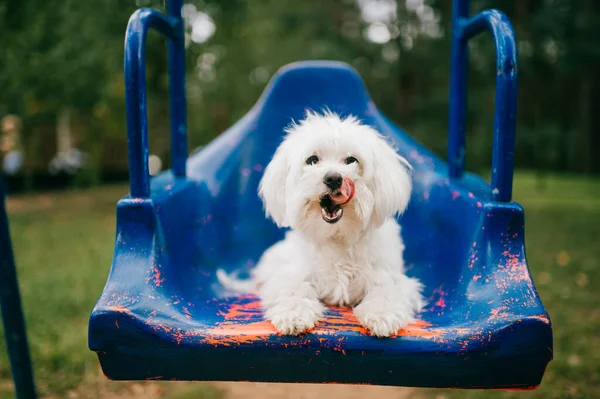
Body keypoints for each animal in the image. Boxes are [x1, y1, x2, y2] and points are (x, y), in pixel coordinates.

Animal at [218, 110, 424, 338]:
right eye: (312, 160)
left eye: (351, 160)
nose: (333, 178)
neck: (337, 235)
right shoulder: (290, 275)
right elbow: (293, 289)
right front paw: (294, 314)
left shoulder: (391, 277)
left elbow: (387, 290)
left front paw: (383, 314)